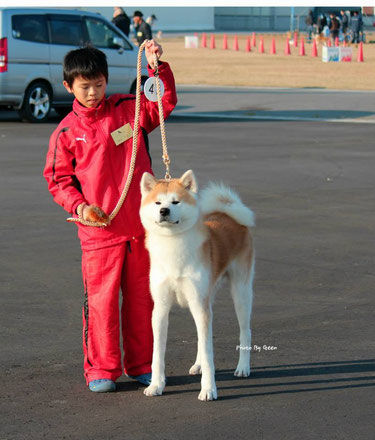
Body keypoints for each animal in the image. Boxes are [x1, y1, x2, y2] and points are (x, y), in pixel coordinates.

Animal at [141, 170, 256, 400]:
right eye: (157, 202)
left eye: (175, 201)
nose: (164, 211)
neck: (172, 247)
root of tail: (229, 214)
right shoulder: (161, 309)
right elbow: (157, 354)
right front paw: (156, 385)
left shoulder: (199, 305)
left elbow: (210, 353)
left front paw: (209, 389)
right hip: (206, 299)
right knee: (201, 339)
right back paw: (198, 364)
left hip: (240, 293)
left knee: (244, 331)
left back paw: (243, 368)